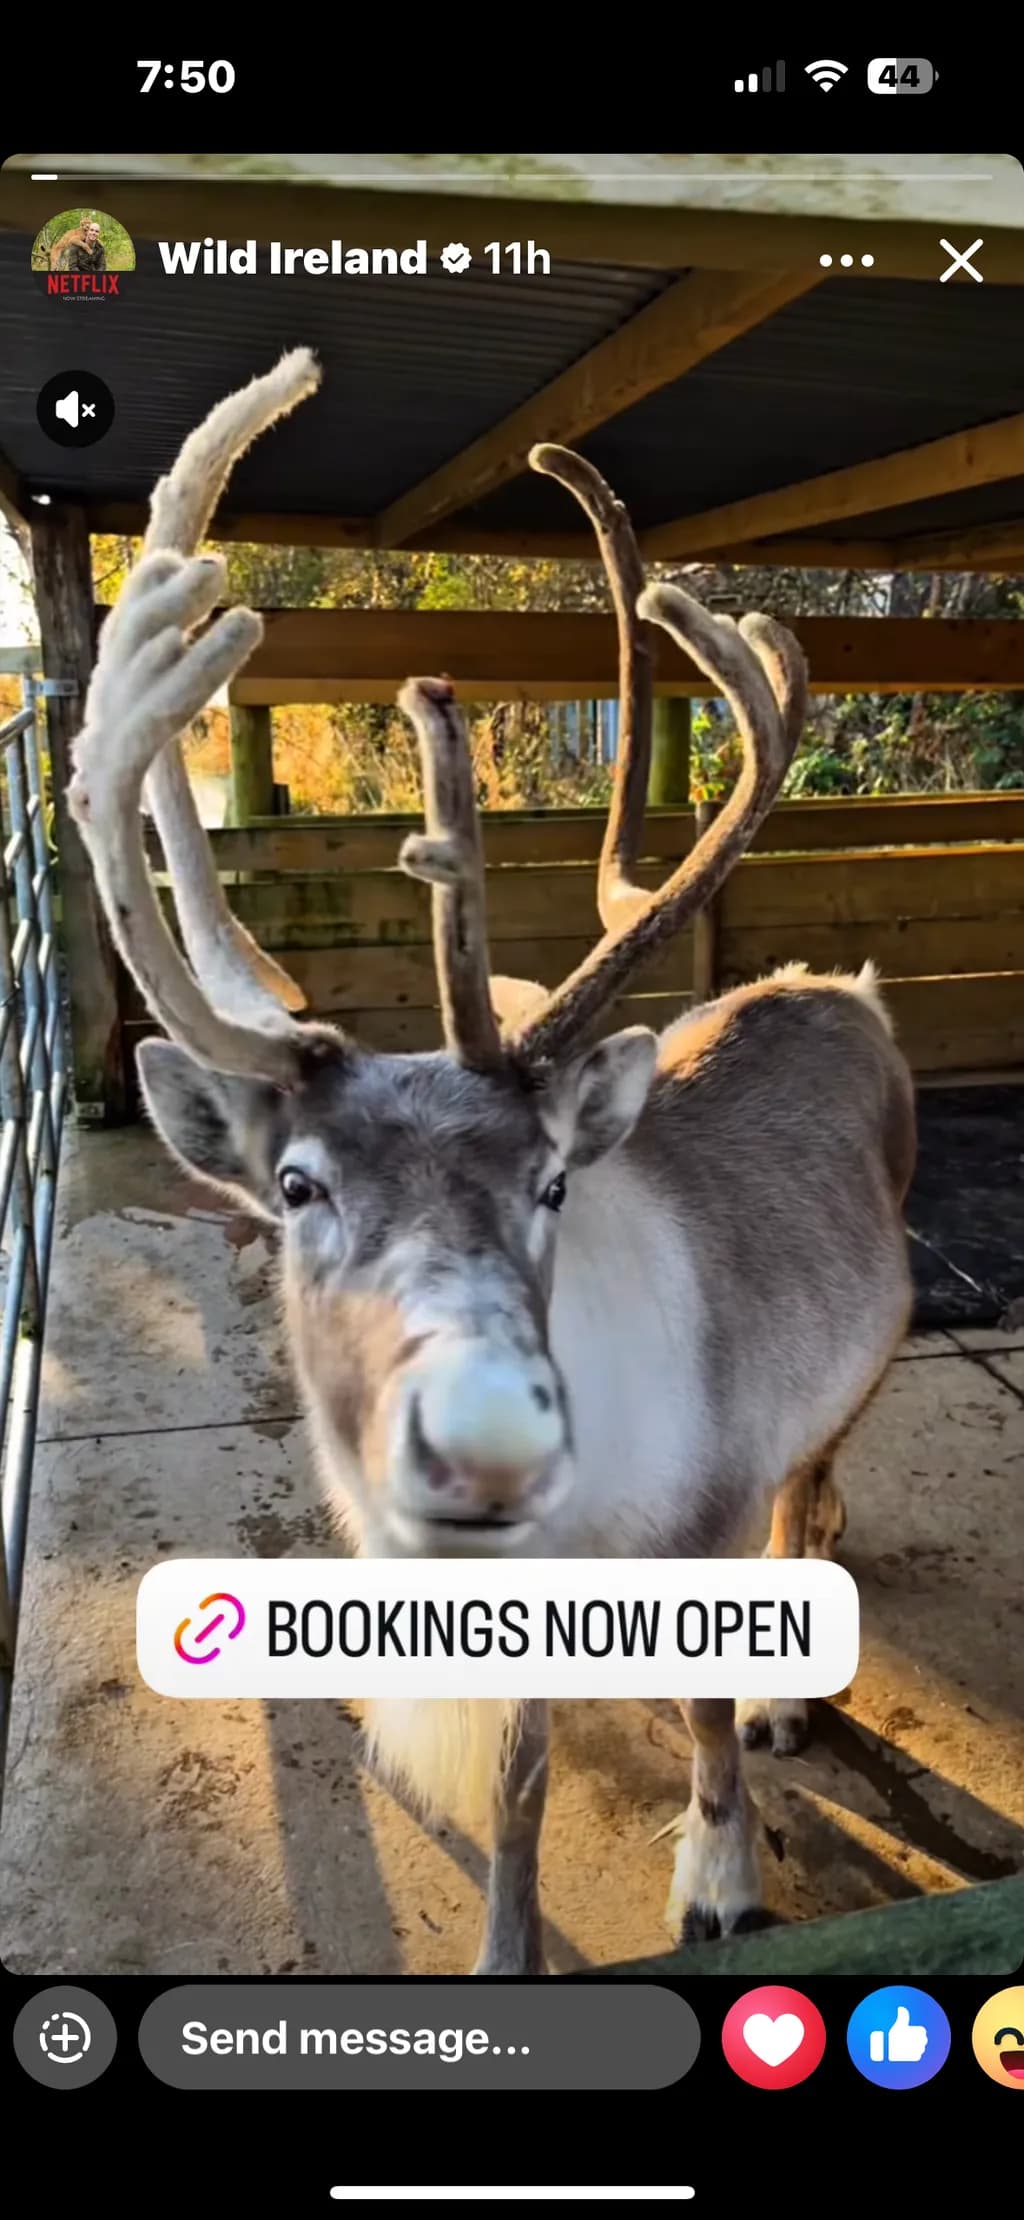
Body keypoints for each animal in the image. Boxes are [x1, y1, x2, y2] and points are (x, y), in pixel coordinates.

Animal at [65, 349, 916, 1974]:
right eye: (297, 1187)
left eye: (551, 1186)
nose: (484, 1444)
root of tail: (842, 983)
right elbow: (517, 1782)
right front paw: (507, 1953)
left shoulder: (701, 1523)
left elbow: (700, 1710)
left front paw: (721, 1884)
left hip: (867, 1348)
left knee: (820, 1478)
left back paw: (797, 1684)